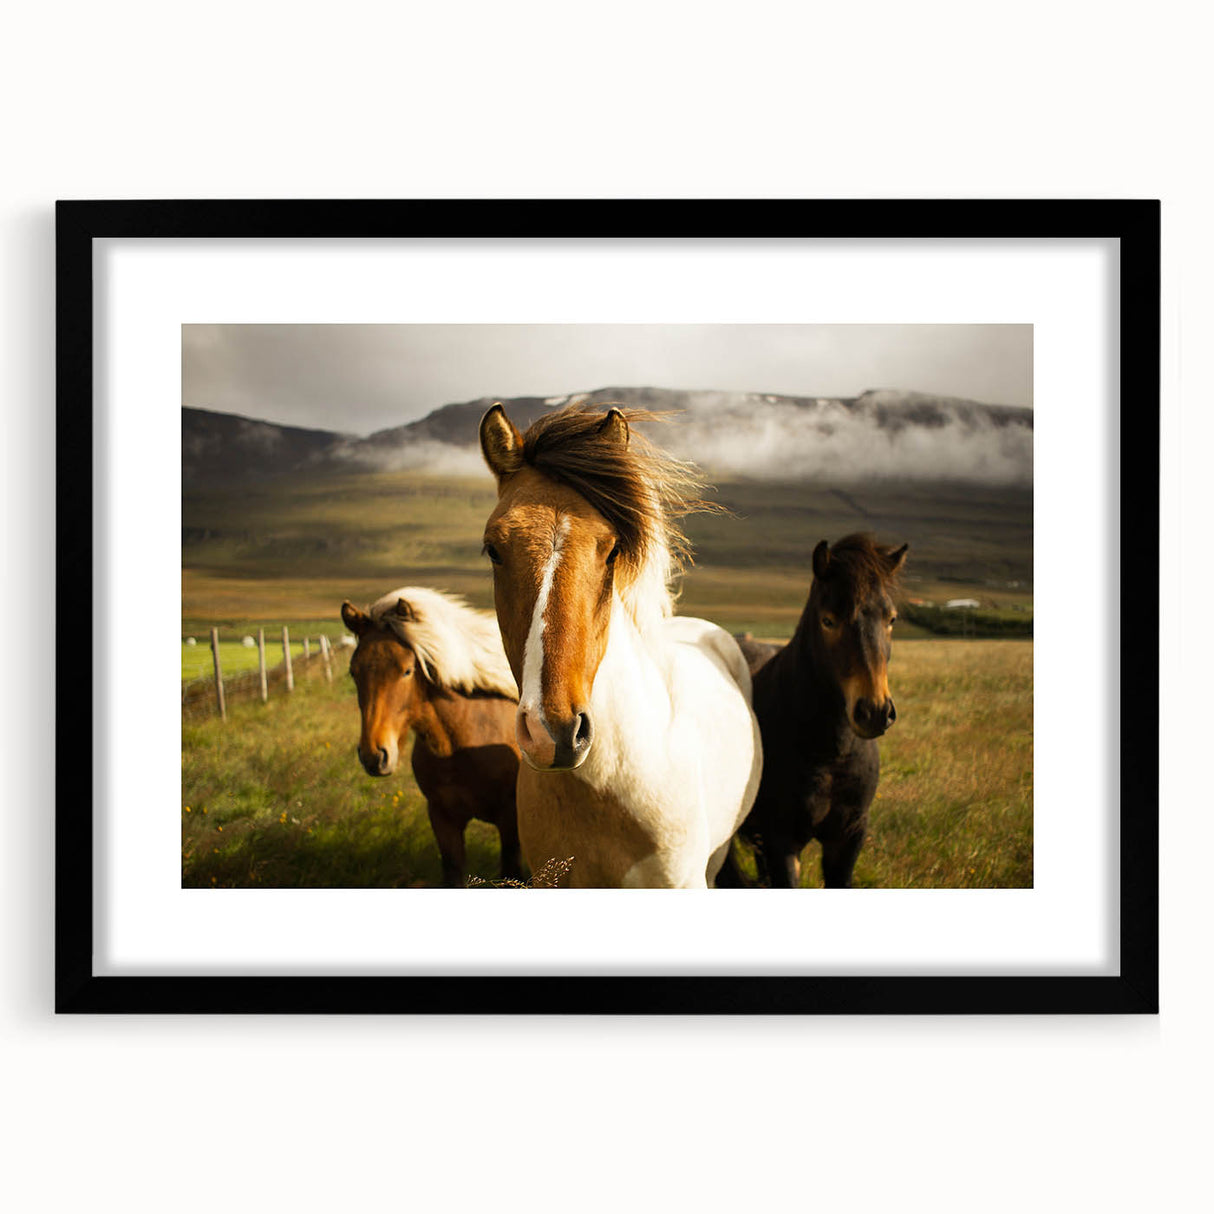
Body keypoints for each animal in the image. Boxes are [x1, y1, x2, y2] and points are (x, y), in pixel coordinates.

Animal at [340, 586, 523, 887]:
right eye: (353, 671)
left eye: (407, 670)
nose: (374, 755)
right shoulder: (442, 818)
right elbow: (453, 872)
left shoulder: (510, 821)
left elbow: (512, 872)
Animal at [718, 533, 907, 888]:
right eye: (828, 620)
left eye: (891, 619)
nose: (874, 711)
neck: (830, 754)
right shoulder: (781, 842)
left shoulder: (848, 838)